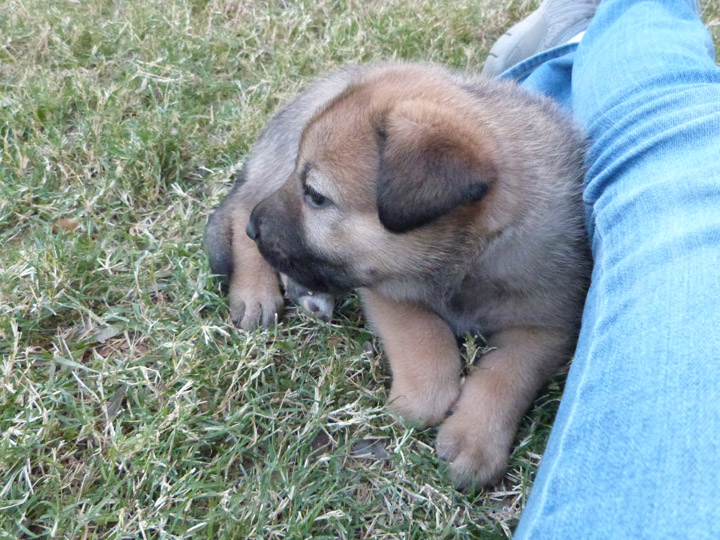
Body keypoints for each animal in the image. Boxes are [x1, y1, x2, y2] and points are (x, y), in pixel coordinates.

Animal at [202, 62, 592, 490]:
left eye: (316, 196)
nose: (256, 230)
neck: (466, 262)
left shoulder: (546, 327)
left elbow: (506, 374)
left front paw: (475, 438)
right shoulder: (380, 285)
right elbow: (425, 340)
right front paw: (425, 397)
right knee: (242, 204)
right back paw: (255, 290)